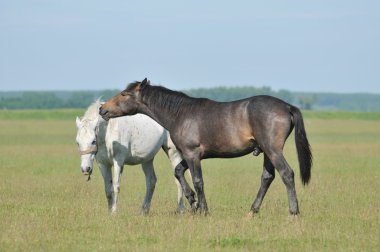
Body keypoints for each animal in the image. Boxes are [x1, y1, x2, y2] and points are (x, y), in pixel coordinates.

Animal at [99, 79, 314, 217]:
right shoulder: (189, 155)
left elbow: (197, 181)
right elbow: (179, 172)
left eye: (124, 94)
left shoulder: (192, 154)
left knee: (287, 173)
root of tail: (287, 106)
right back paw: (252, 211)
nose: (102, 109)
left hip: (272, 150)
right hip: (267, 152)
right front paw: (193, 202)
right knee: (267, 178)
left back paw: (293, 212)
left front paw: (203, 209)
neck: (181, 113)